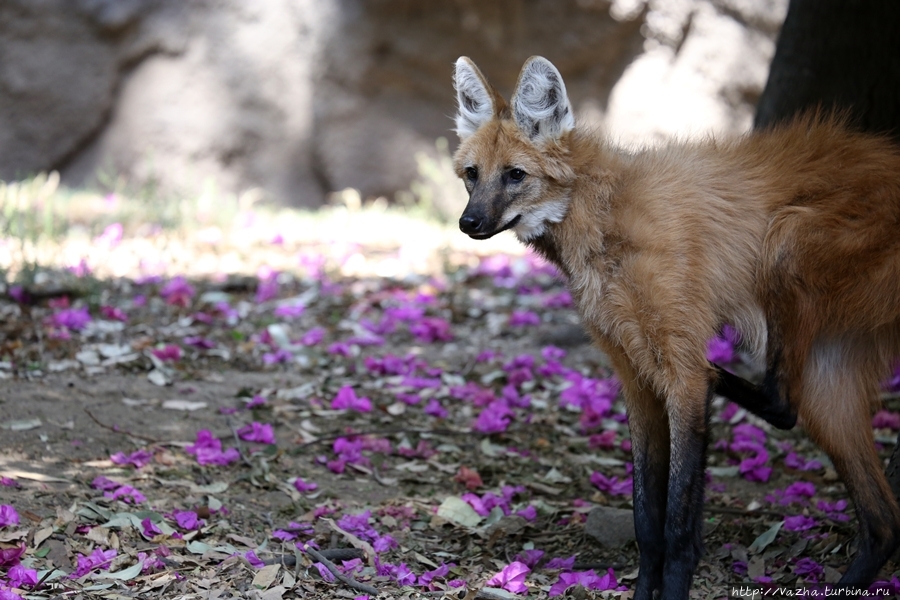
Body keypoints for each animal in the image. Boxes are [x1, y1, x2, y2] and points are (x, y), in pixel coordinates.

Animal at [454, 54, 900, 596]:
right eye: (472, 175)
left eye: (515, 175)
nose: (468, 223)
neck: (603, 218)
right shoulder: (634, 376)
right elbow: (647, 519)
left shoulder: (679, 372)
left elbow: (678, 524)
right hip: (827, 384)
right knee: (883, 521)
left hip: (787, 240)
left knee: (779, 400)